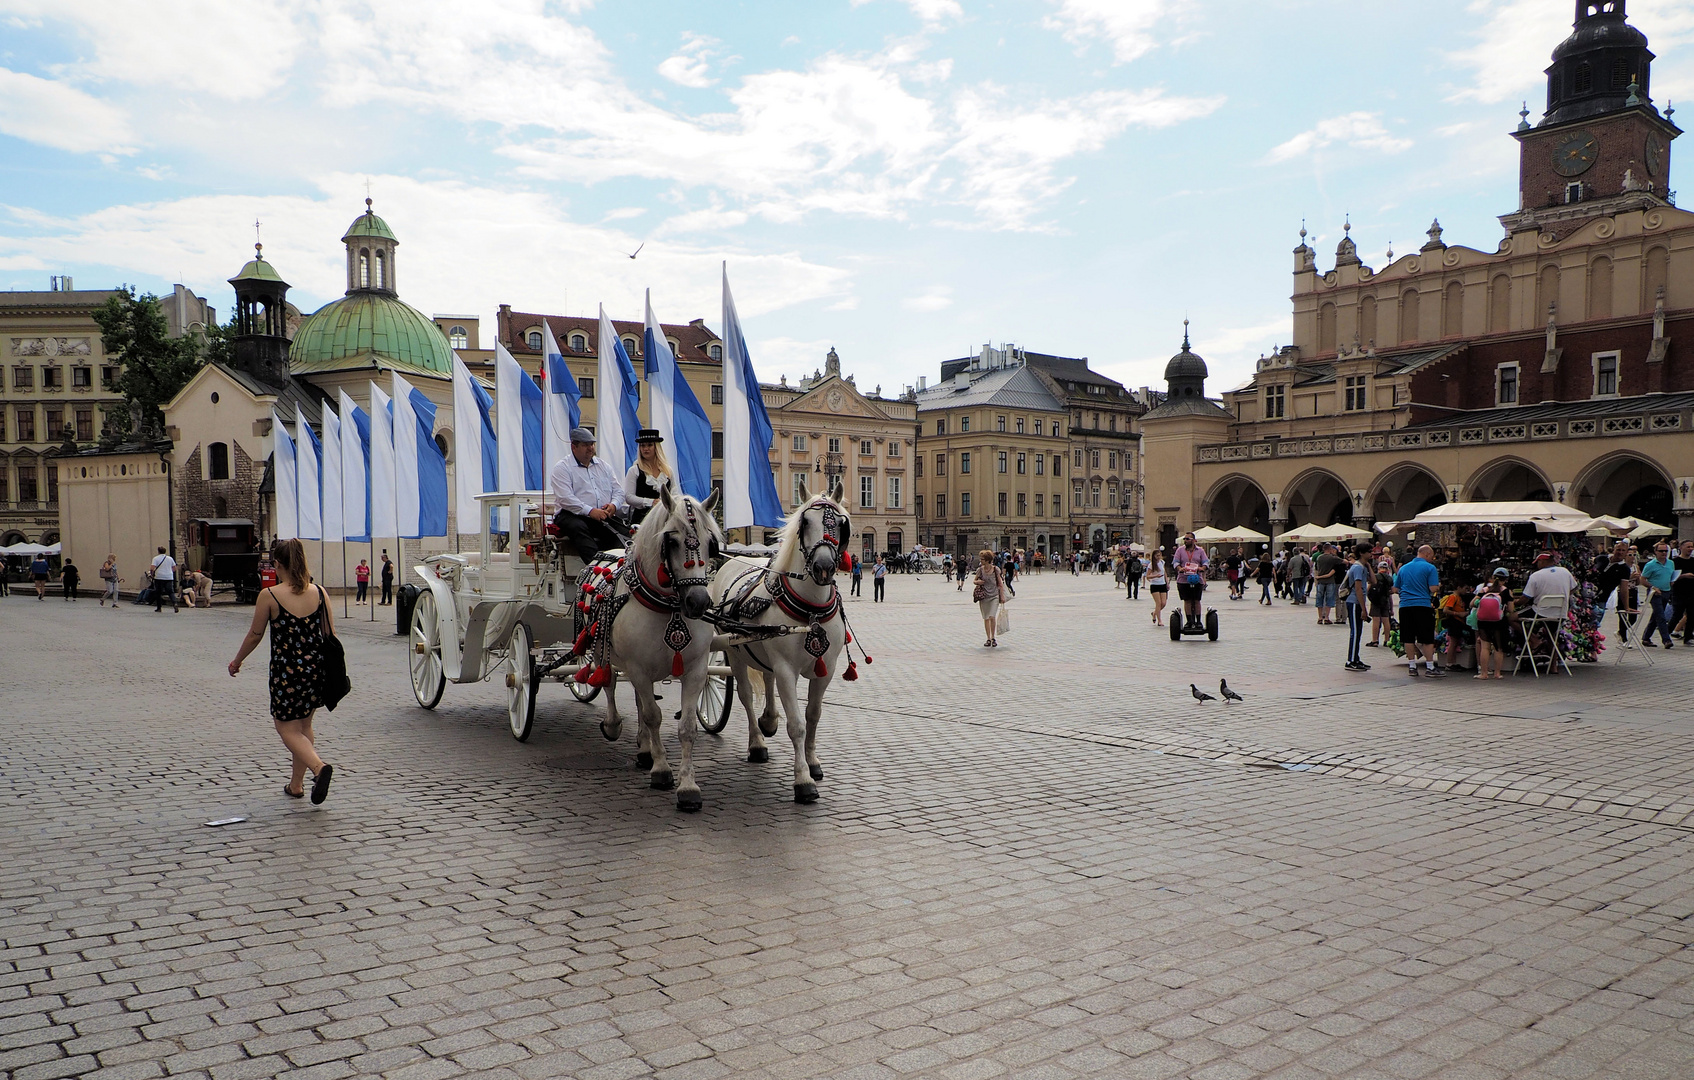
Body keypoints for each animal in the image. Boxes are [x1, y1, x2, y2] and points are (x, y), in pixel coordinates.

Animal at [592, 487, 725, 812]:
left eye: (711, 543)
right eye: (671, 540)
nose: (698, 602)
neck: (669, 609)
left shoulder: (696, 670)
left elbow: (686, 726)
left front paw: (688, 786)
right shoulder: (637, 668)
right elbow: (653, 716)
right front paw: (662, 771)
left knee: (640, 700)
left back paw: (644, 750)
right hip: (605, 652)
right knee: (610, 683)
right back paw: (615, 725)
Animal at [711, 480, 853, 805]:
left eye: (841, 524)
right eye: (805, 522)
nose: (824, 566)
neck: (811, 610)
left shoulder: (825, 669)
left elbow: (813, 716)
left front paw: (813, 763)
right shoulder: (787, 669)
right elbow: (797, 725)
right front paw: (802, 781)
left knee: (766, 676)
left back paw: (769, 719)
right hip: (733, 651)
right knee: (746, 695)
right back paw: (757, 742)